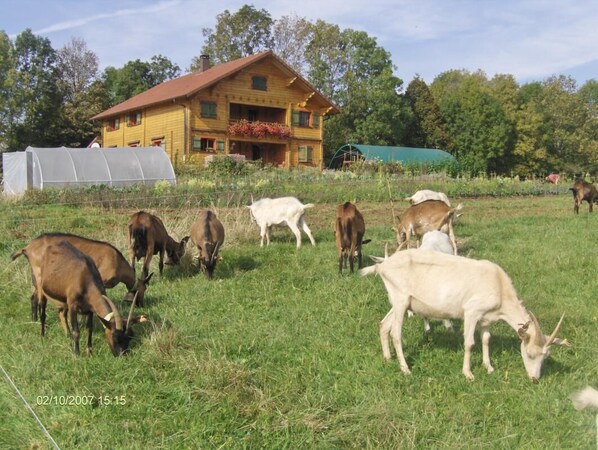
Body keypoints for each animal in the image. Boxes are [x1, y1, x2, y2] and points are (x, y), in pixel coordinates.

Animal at [11, 232, 152, 312]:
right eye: (143, 289)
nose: (142, 305)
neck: (118, 262)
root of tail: (27, 248)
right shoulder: (101, 279)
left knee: (33, 297)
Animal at [360, 248, 572, 382]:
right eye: (529, 353)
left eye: (546, 356)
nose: (535, 379)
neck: (499, 287)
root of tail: (382, 266)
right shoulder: (472, 311)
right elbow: (470, 343)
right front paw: (468, 374)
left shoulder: (487, 318)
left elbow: (486, 339)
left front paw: (489, 367)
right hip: (401, 298)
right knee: (396, 333)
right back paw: (405, 369)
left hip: (398, 302)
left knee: (384, 324)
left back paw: (388, 359)